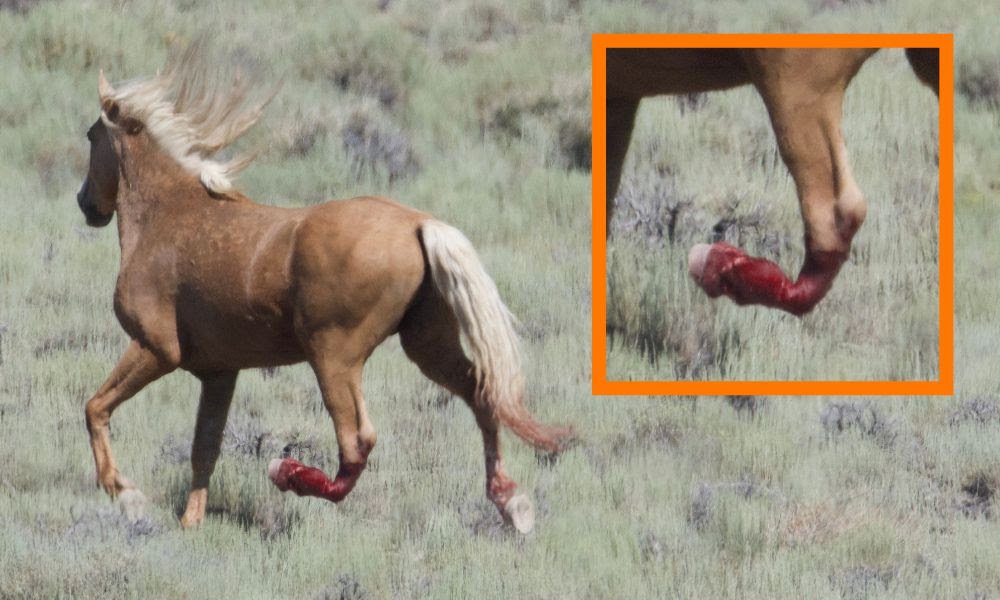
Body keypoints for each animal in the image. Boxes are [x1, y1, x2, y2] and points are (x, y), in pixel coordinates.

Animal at [75, 43, 572, 534]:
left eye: (90, 135)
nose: (86, 204)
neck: (168, 213)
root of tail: (420, 224)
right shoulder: (219, 372)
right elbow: (204, 449)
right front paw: (189, 523)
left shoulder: (157, 348)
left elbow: (95, 407)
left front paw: (127, 494)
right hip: (426, 347)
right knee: (482, 397)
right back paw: (513, 503)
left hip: (333, 355)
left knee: (357, 441)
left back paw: (288, 473)